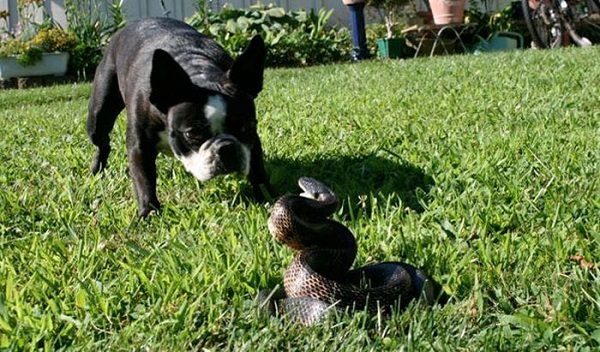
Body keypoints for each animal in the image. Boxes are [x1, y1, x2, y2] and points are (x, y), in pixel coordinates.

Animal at [87, 19, 274, 219]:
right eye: (193, 134)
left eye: (247, 128)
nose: (226, 148)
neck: (199, 73)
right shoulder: (140, 146)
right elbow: (143, 178)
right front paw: (149, 212)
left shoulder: (253, 143)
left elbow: (257, 170)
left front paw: (267, 197)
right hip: (98, 116)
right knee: (103, 142)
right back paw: (97, 169)